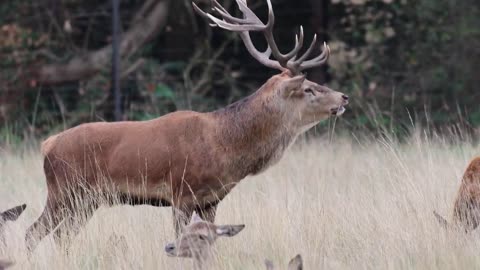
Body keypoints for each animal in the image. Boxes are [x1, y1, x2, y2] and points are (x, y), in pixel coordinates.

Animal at [26, 0, 348, 251]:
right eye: (308, 89)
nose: (343, 97)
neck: (226, 146)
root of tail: (47, 145)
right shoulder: (181, 193)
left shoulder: (211, 200)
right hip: (64, 191)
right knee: (34, 232)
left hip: (85, 200)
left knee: (62, 237)